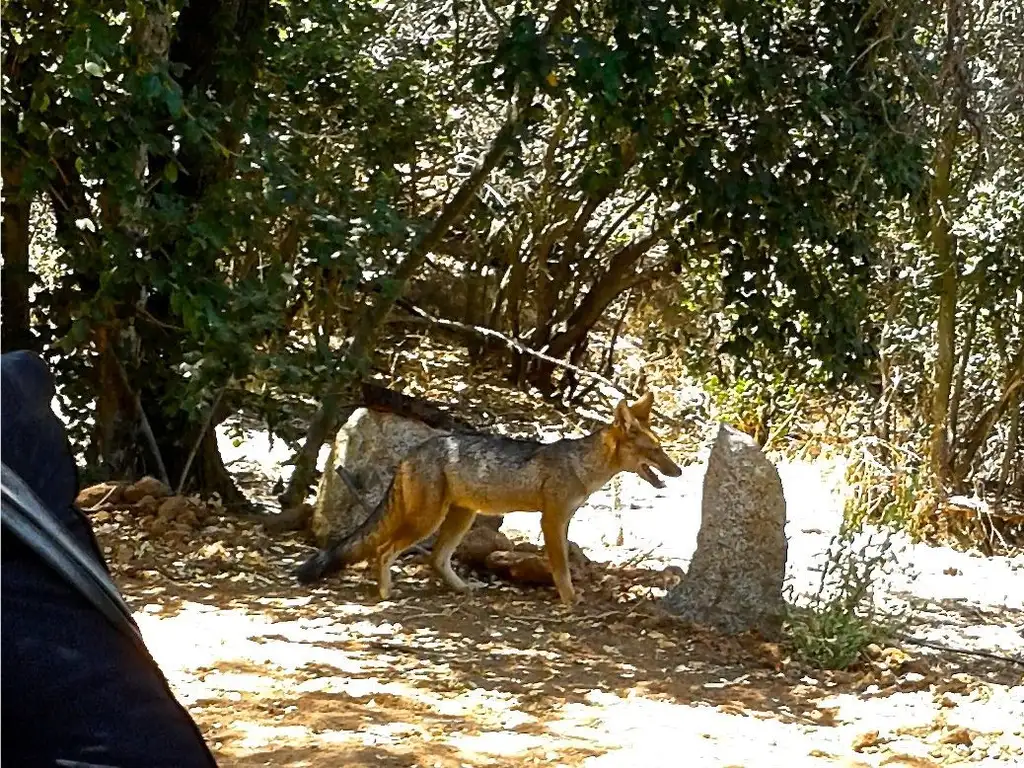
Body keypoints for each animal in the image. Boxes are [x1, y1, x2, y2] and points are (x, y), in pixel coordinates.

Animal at [296, 397, 679, 606]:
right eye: (655, 451)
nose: (678, 471)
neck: (581, 465)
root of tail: (412, 453)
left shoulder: (562, 520)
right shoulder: (551, 520)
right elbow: (560, 567)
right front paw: (569, 599)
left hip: (460, 519)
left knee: (436, 559)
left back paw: (463, 588)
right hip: (427, 522)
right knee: (383, 550)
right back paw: (385, 592)